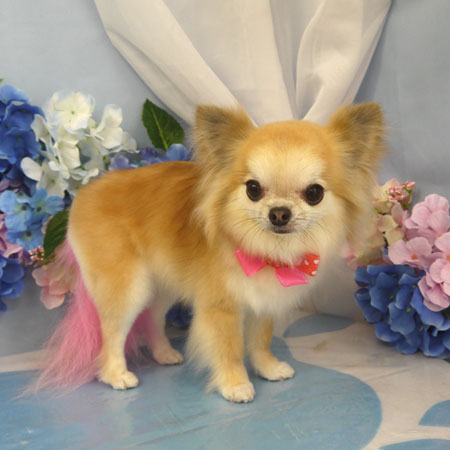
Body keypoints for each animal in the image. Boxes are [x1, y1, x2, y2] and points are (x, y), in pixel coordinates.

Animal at [36, 103, 384, 403]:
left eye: (314, 193)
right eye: (253, 189)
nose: (279, 213)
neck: (264, 251)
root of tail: (84, 195)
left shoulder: (263, 302)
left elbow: (260, 340)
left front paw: (268, 368)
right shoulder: (221, 308)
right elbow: (229, 348)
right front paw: (236, 385)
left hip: (161, 284)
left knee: (152, 317)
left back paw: (163, 353)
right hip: (128, 287)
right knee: (112, 332)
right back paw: (116, 375)